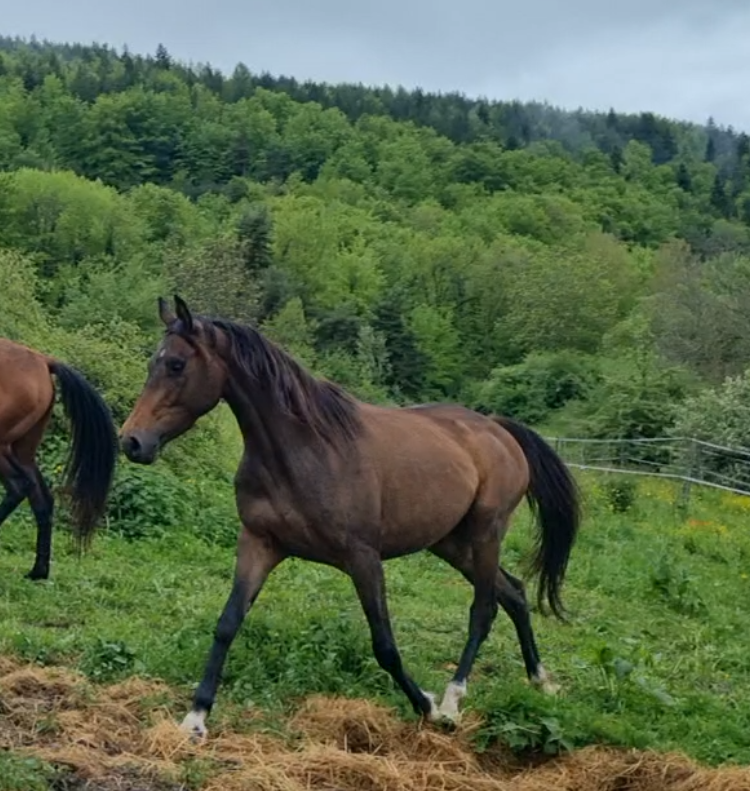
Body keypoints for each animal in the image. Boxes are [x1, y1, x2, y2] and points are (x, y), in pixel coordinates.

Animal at [119, 296, 581, 738]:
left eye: (176, 365)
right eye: (152, 363)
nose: (131, 441)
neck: (305, 451)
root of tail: (498, 428)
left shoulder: (363, 557)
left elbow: (385, 645)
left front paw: (428, 707)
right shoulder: (258, 543)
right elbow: (227, 624)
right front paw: (196, 717)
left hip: (486, 533)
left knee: (483, 610)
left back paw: (453, 701)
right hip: (451, 543)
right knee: (514, 594)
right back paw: (541, 681)